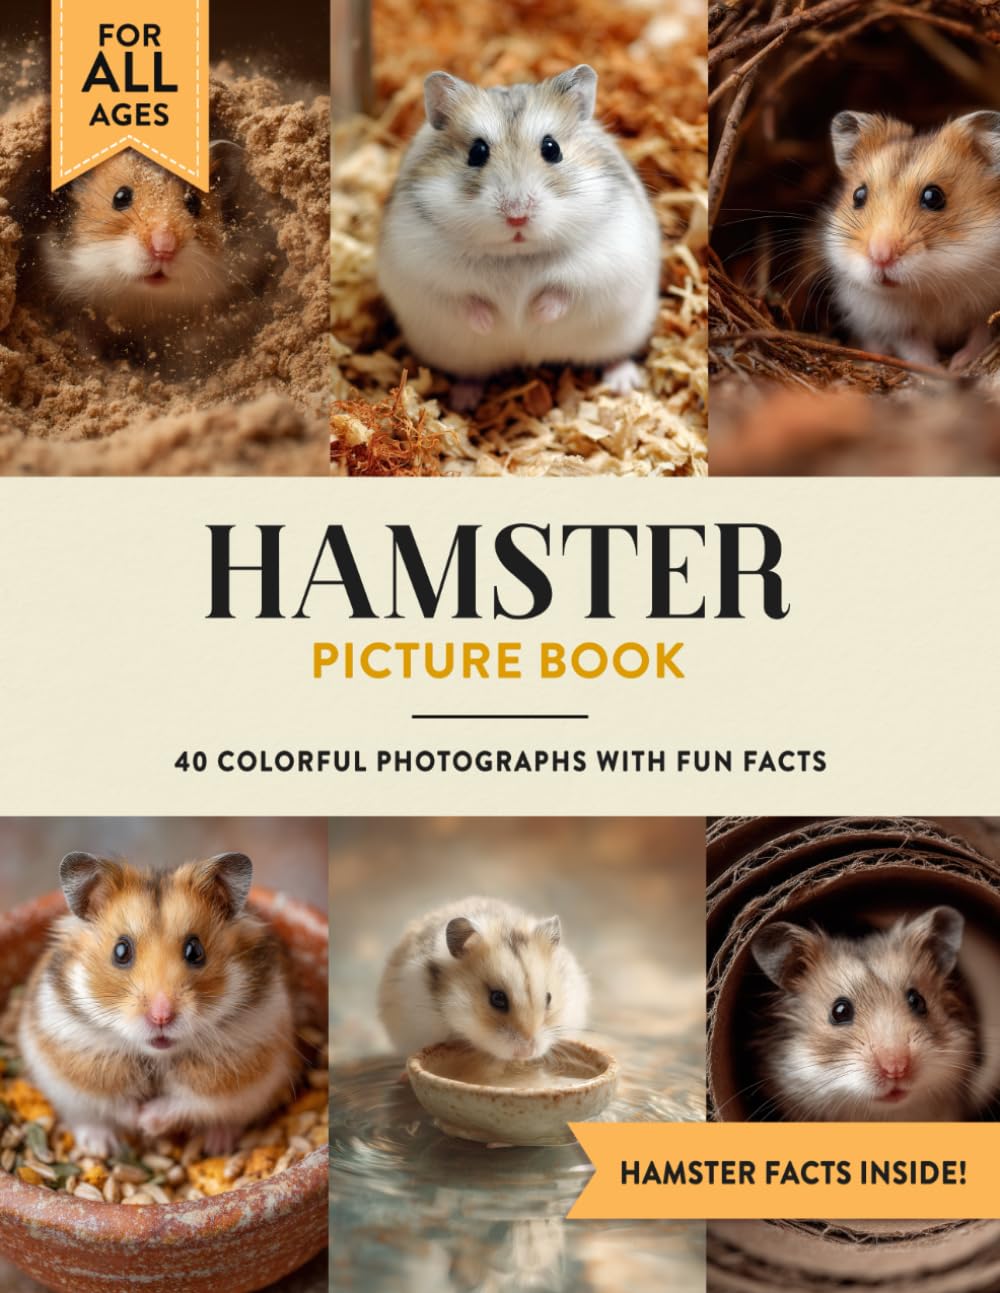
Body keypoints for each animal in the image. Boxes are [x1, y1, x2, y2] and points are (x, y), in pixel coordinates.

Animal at [17, 851, 298, 1157]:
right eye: (120, 950)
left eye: (195, 950)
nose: (161, 1017)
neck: (157, 1056)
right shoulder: (78, 1056)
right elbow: (112, 1099)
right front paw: (135, 1121)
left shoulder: (233, 1066)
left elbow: (189, 1101)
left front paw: (147, 1122)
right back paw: (101, 1147)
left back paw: (217, 1145)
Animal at [377, 65, 661, 408]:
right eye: (477, 152)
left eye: (552, 149)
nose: (517, 215)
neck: (516, 255)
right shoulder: (426, 274)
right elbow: (465, 300)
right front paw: (493, 323)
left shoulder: (601, 264)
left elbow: (562, 292)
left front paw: (533, 316)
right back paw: (463, 400)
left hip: (623, 332)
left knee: (614, 356)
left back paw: (624, 383)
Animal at [822, 110, 1000, 370]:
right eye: (858, 196)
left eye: (933, 197)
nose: (880, 256)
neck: (931, 287)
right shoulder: (899, 326)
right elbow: (916, 351)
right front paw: (937, 371)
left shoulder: (984, 308)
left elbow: (980, 335)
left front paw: (957, 364)